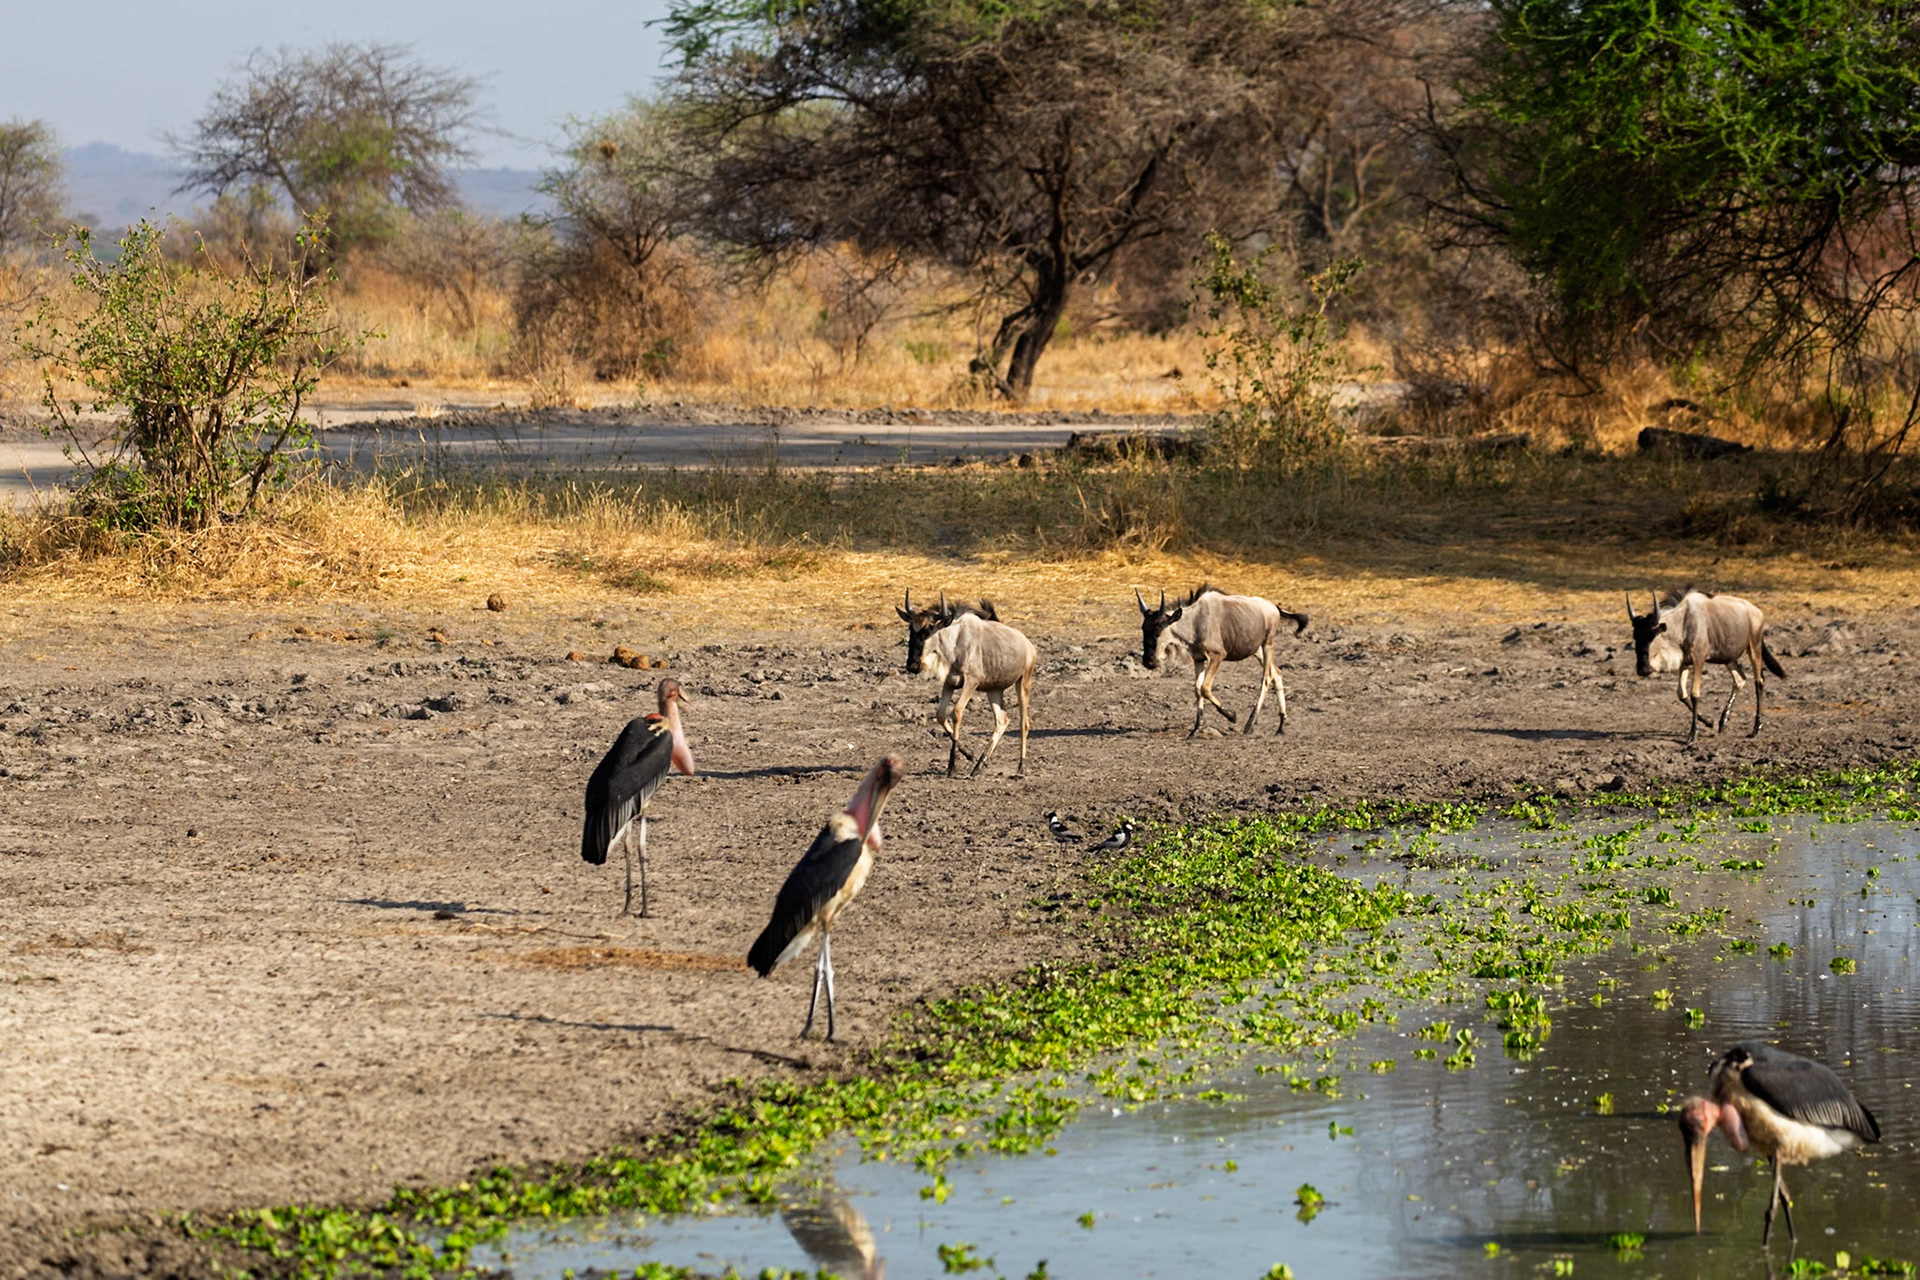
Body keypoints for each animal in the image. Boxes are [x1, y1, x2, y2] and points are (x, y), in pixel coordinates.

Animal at [924, 610, 1037, 777]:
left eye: (930, 629)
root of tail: (1029, 646)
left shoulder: (971, 682)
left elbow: (957, 711)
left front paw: (953, 767)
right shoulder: (949, 683)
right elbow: (940, 714)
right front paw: (968, 757)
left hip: (1023, 683)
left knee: (1024, 723)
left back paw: (1021, 767)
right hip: (994, 691)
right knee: (1002, 720)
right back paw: (978, 767)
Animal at [1137, 585, 1309, 737]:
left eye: (1160, 626)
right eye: (1143, 627)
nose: (1148, 661)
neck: (1195, 620)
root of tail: (1274, 608)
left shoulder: (1217, 656)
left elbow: (1205, 688)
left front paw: (1232, 716)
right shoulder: (1198, 659)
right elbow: (1197, 689)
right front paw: (1195, 730)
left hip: (1268, 645)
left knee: (1266, 678)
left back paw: (1250, 724)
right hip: (1257, 650)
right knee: (1277, 673)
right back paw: (1281, 726)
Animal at [1626, 588, 1786, 744]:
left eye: (1652, 635)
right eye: (1636, 636)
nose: (1642, 669)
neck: (1683, 622)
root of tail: (1757, 612)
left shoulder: (1699, 660)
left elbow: (1695, 694)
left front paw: (1693, 734)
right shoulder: (1685, 662)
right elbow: (1682, 694)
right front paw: (1709, 722)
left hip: (1754, 647)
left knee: (1759, 681)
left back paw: (1756, 728)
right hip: (1728, 658)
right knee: (1740, 679)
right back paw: (1723, 721)